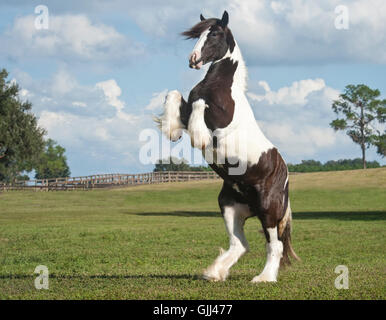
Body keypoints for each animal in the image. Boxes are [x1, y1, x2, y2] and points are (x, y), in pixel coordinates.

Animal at [154, 11, 298, 282]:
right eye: (198, 35)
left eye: (215, 34)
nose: (193, 60)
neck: (221, 89)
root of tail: (284, 177)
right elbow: (175, 94)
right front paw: (171, 130)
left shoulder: (219, 126)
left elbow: (199, 105)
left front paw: (196, 137)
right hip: (230, 207)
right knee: (240, 244)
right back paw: (214, 273)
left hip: (268, 211)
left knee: (274, 245)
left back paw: (263, 278)